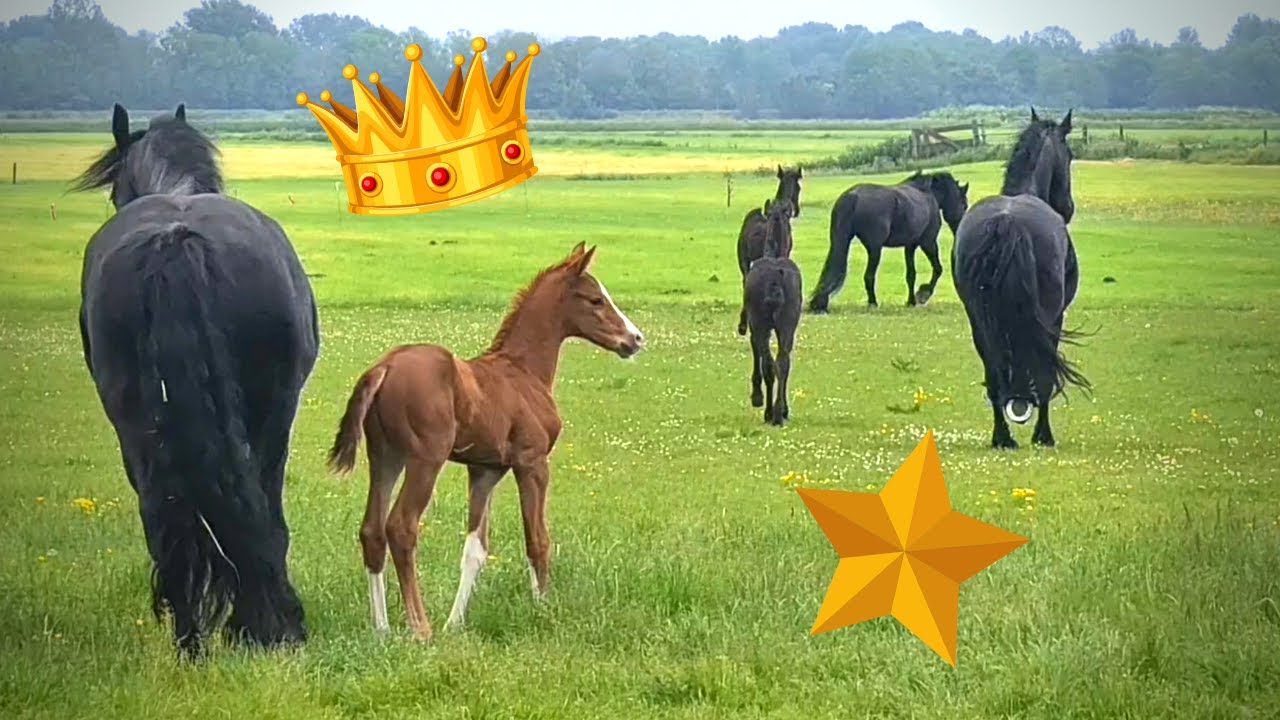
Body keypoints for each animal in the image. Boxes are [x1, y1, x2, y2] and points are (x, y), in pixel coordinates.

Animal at [326, 242, 644, 640]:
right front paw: (543, 610)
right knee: (400, 527)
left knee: (372, 530)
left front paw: (455, 623)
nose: (635, 339)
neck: (523, 373)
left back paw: (383, 629)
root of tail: (383, 368)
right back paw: (420, 627)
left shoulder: (485, 470)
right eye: (596, 299)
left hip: (385, 455)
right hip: (425, 459)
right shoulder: (532, 463)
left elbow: (475, 549)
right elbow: (537, 538)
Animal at [743, 198, 802, 426]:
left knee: (769, 364)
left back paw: (770, 412)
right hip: (787, 327)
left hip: (761, 325)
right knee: (782, 363)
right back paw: (779, 412)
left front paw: (757, 397)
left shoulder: (755, 327)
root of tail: (776, 276)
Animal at [808, 170, 969, 312]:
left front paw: (911, 301)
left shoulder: (909, 246)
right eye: (964, 204)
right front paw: (922, 295)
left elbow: (911, 275)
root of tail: (853, 195)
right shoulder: (928, 243)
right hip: (875, 250)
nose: (960, 229)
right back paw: (873, 303)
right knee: (869, 276)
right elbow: (938, 268)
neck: (929, 194)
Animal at [952, 107, 1090, 449]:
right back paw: (1043, 435)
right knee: (1042, 374)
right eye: (1069, 155)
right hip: (1047, 317)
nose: (1068, 207)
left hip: (980, 321)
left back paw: (1002, 437)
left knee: (994, 373)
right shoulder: (1055, 317)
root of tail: (1007, 222)